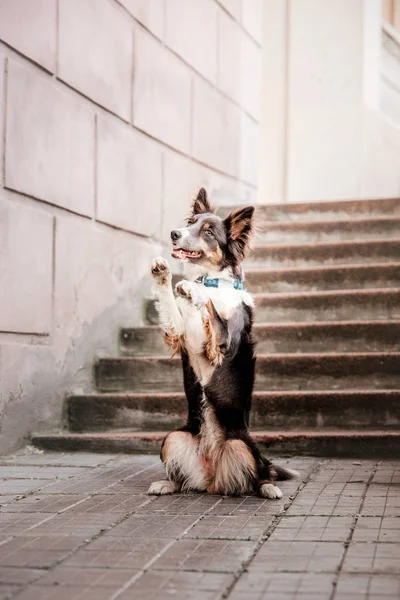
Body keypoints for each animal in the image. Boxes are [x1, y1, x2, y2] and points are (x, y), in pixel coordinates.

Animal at [147, 188, 296, 496]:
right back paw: (165, 484)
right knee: (183, 479)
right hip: (174, 438)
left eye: (208, 232)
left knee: (260, 473)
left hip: (242, 444)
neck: (211, 278)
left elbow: (211, 307)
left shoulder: (223, 341)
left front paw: (194, 289)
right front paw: (163, 273)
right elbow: (170, 303)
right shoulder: (179, 332)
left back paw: (269, 489)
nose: (174, 234)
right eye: (190, 223)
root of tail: (212, 478)